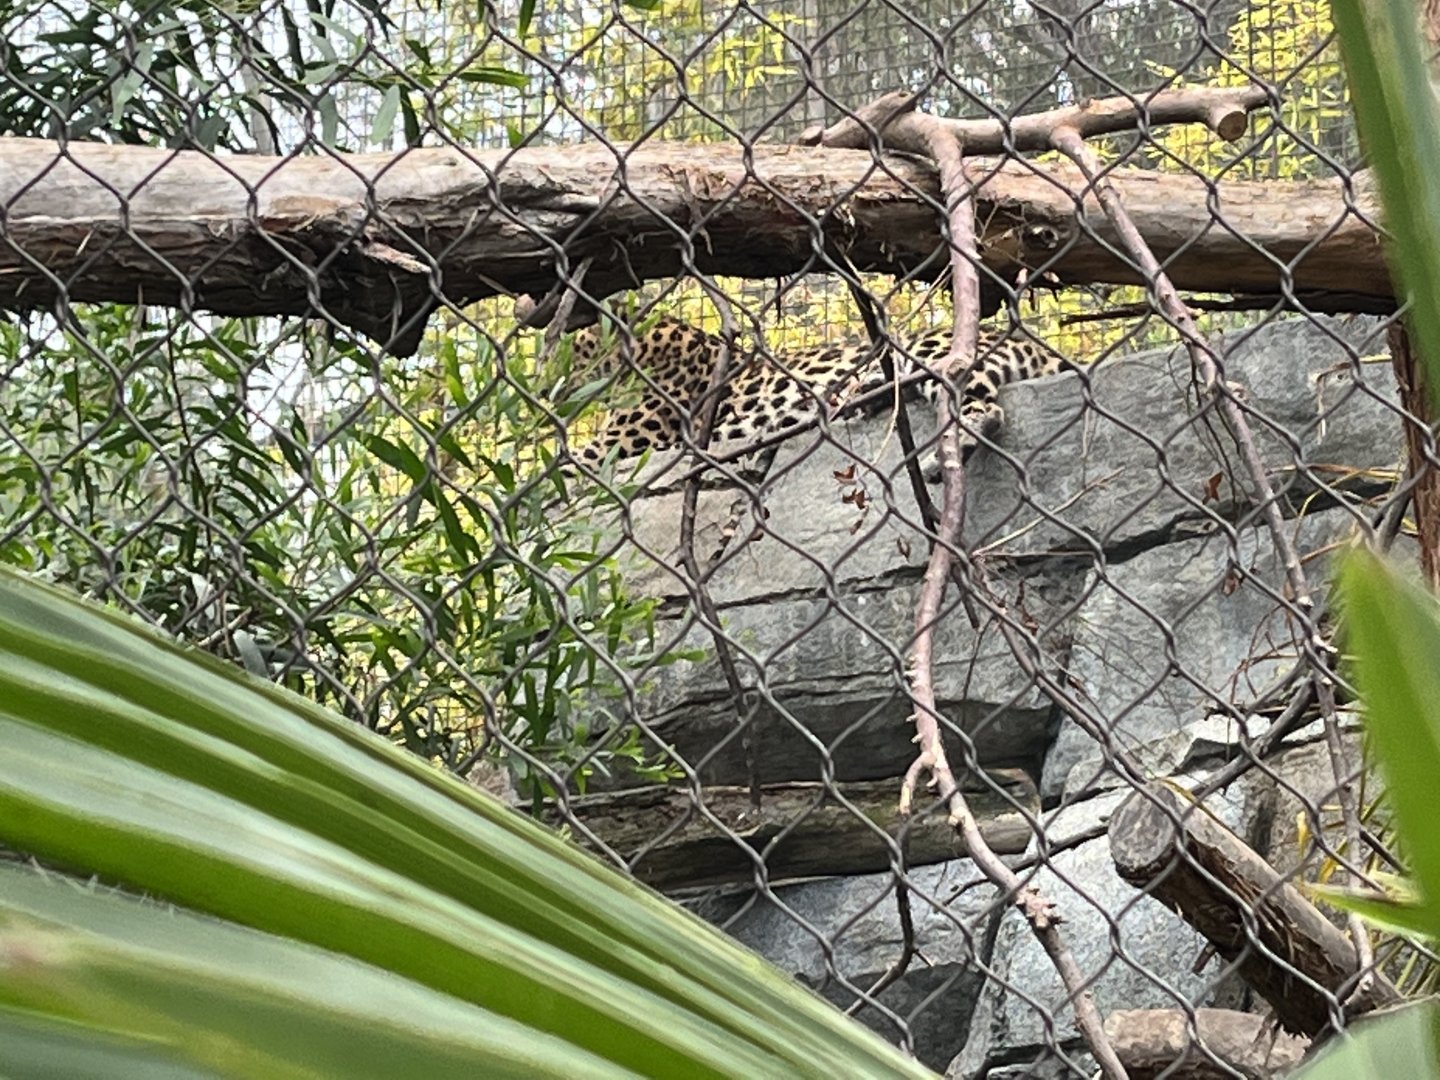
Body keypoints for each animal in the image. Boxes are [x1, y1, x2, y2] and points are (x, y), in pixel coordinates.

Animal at [563, 316, 1071, 472]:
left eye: (570, 345)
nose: (554, 383)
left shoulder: (623, 442)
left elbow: (568, 464)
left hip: (933, 350)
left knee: (984, 409)